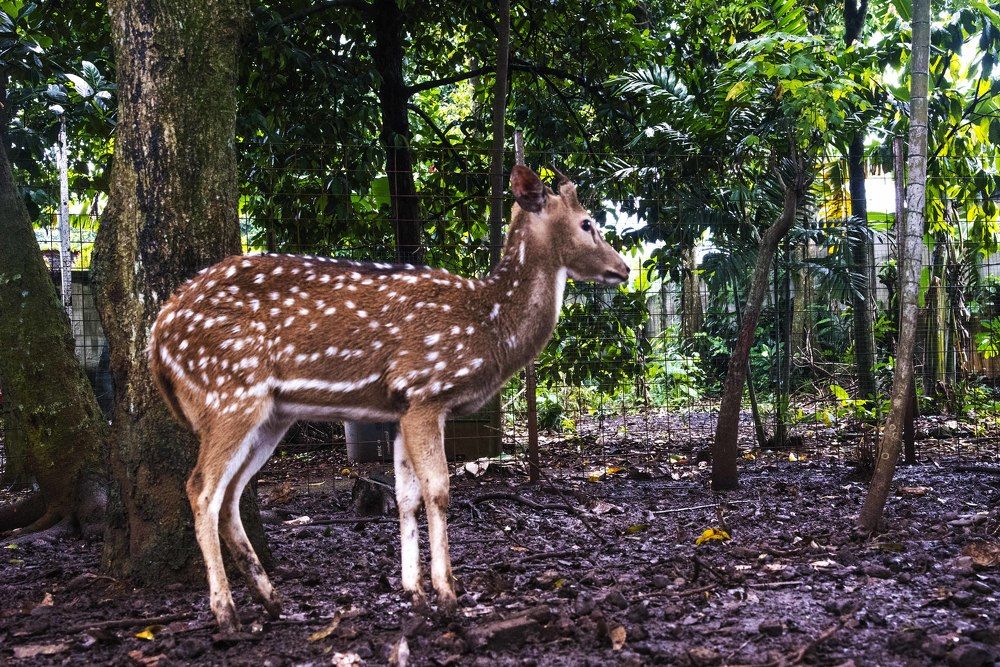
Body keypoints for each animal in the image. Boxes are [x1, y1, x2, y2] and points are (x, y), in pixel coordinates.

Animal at [148, 165, 630, 632]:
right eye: (587, 222)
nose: (623, 268)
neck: (489, 326)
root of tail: (156, 339)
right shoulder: (426, 391)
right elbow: (439, 490)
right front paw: (448, 596)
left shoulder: (399, 410)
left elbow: (405, 497)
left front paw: (413, 593)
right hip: (229, 392)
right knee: (201, 489)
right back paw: (225, 612)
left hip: (271, 414)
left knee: (231, 494)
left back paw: (271, 601)